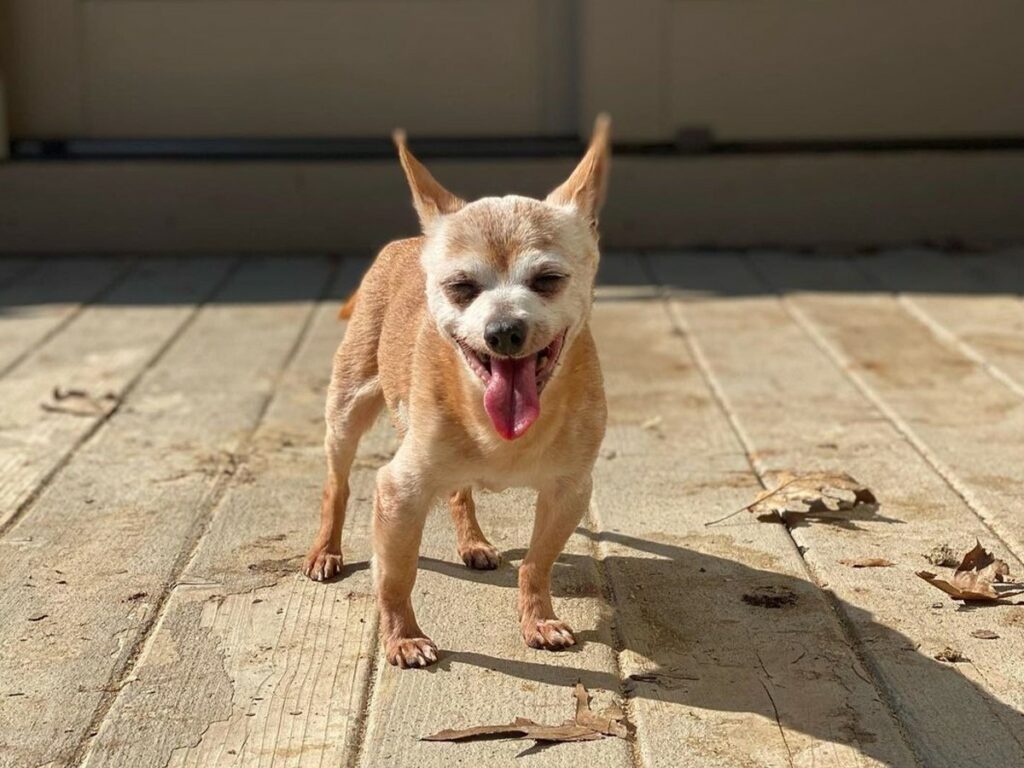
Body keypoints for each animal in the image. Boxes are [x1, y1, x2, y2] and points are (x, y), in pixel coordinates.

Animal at [301, 114, 606, 667]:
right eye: (462, 287)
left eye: (548, 279)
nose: (503, 330)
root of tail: (408, 242)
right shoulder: (399, 492)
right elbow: (397, 574)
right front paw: (402, 636)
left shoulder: (569, 492)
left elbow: (537, 562)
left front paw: (538, 619)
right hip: (348, 409)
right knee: (338, 481)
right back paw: (326, 550)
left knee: (460, 491)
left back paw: (473, 543)